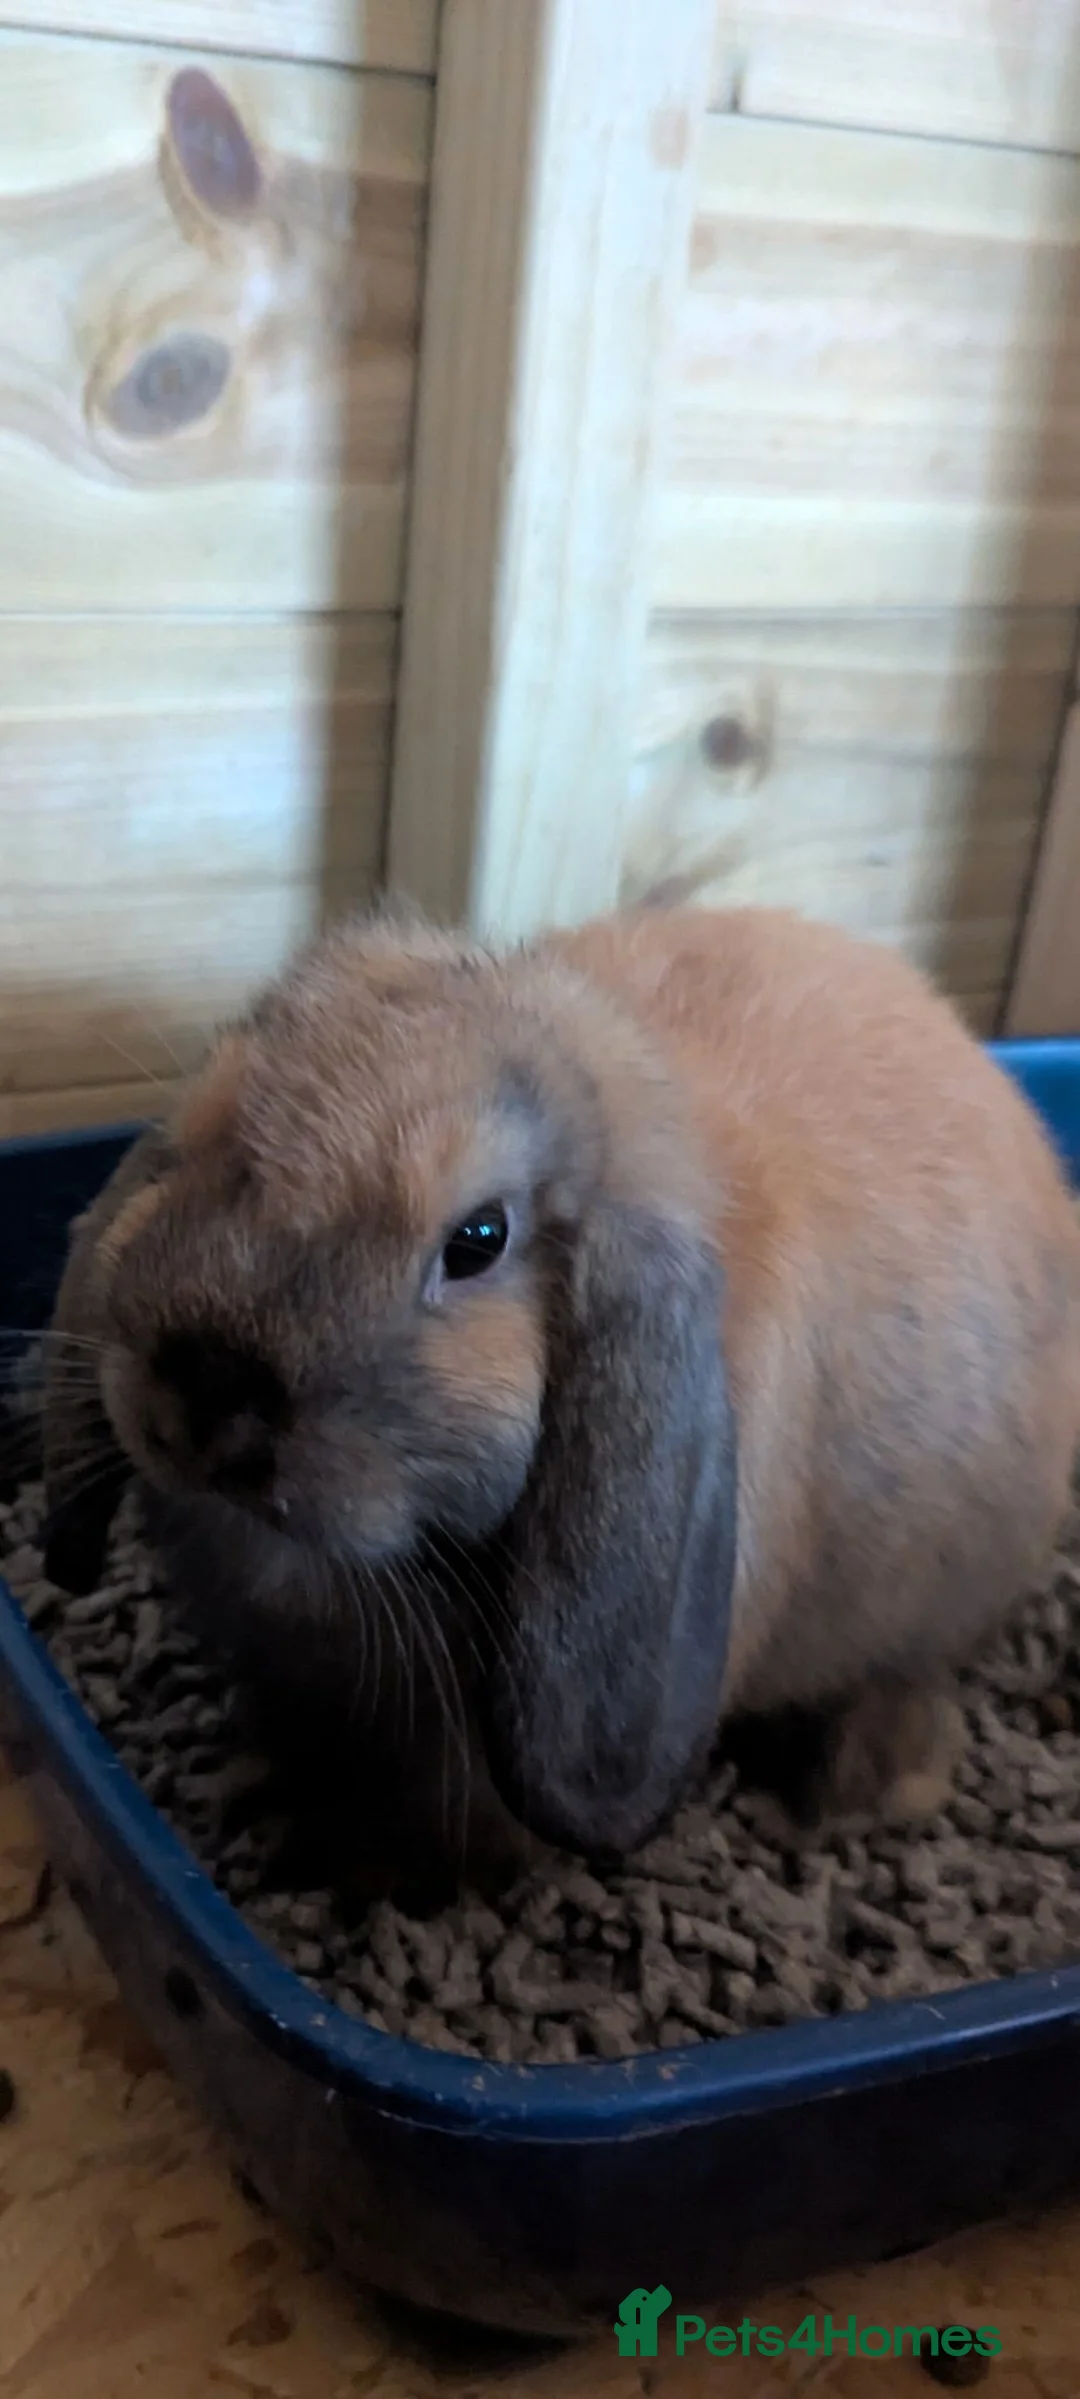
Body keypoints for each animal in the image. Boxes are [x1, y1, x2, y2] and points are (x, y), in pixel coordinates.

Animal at [41, 902, 1080, 1879]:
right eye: (197, 1137)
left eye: (478, 1239)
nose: (203, 1392)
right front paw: (255, 1789)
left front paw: (349, 1869)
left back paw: (856, 1789)